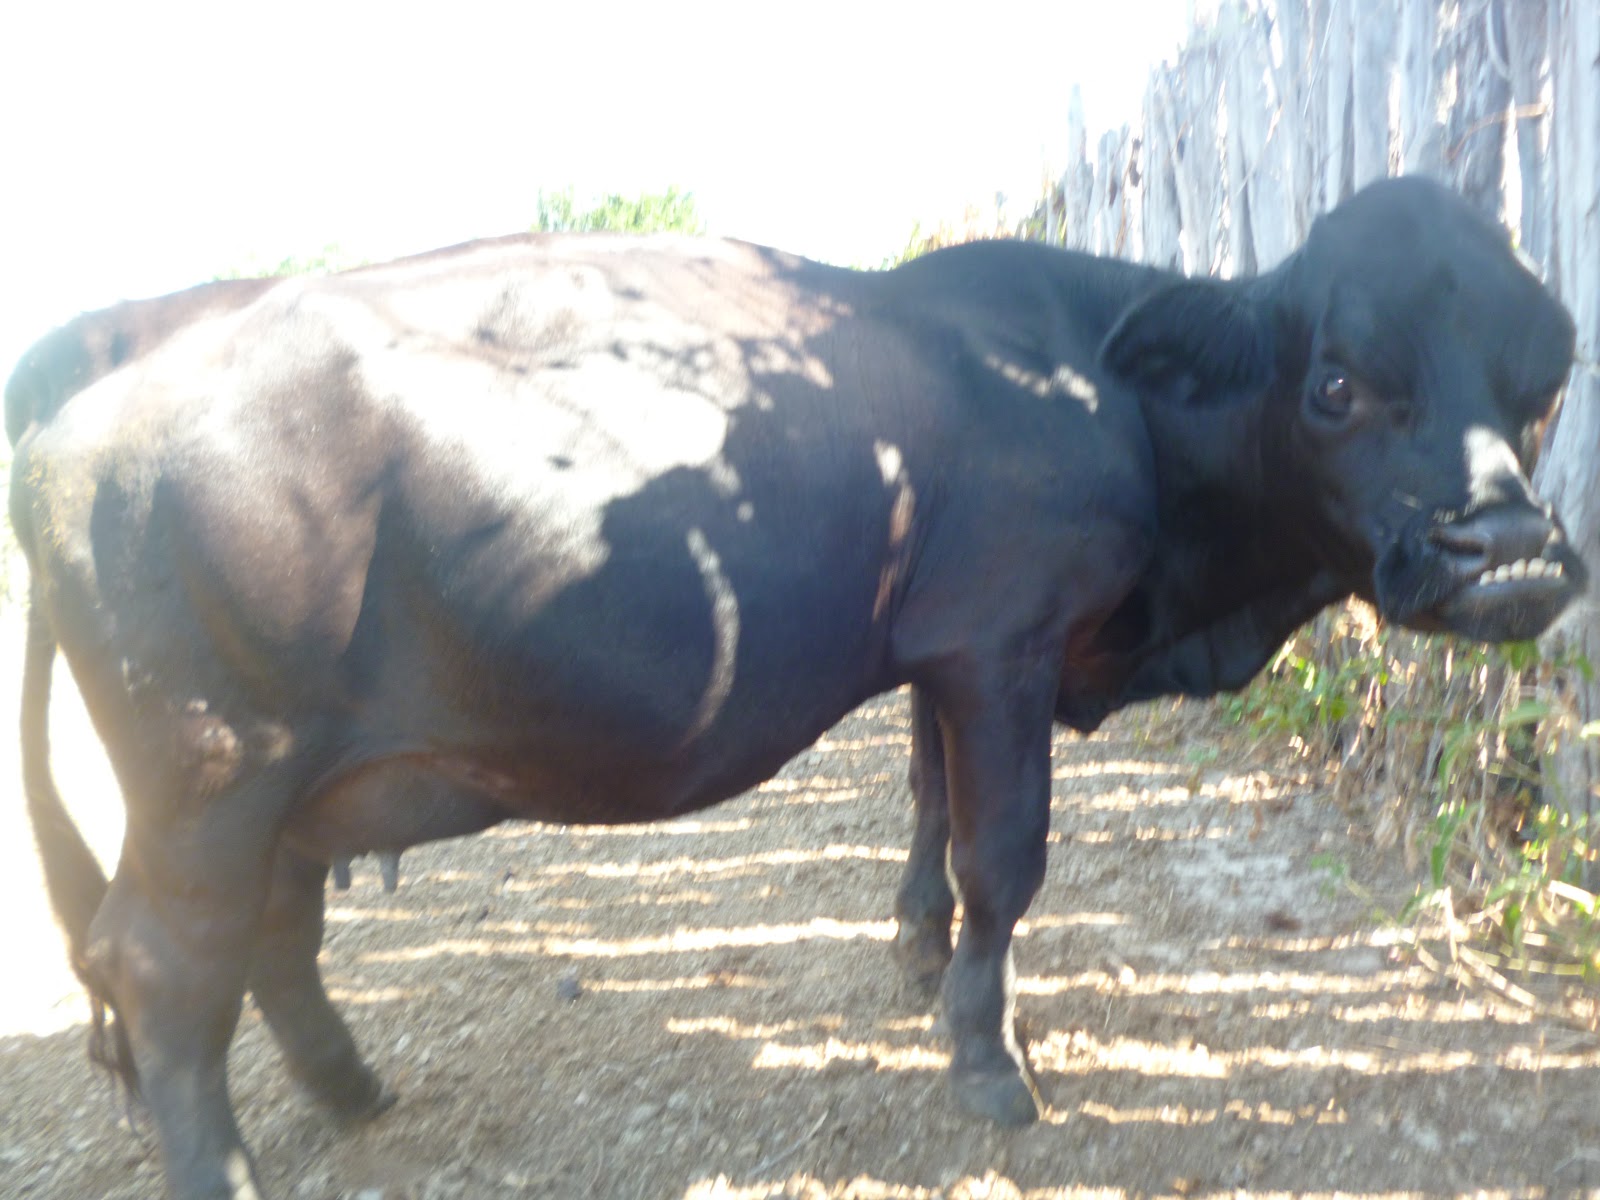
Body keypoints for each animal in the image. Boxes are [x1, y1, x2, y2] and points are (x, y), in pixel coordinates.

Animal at [8, 177, 1585, 1200]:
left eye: (1544, 385)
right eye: (1336, 383)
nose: (1507, 554)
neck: (1102, 389)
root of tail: (92, 392)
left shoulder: (943, 654)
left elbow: (930, 806)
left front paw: (919, 953)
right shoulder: (1003, 643)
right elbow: (1005, 855)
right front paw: (989, 1059)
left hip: (282, 783)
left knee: (273, 934)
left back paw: (349, 1088)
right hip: (215, 771)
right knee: (169, 971)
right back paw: (227, 1169)